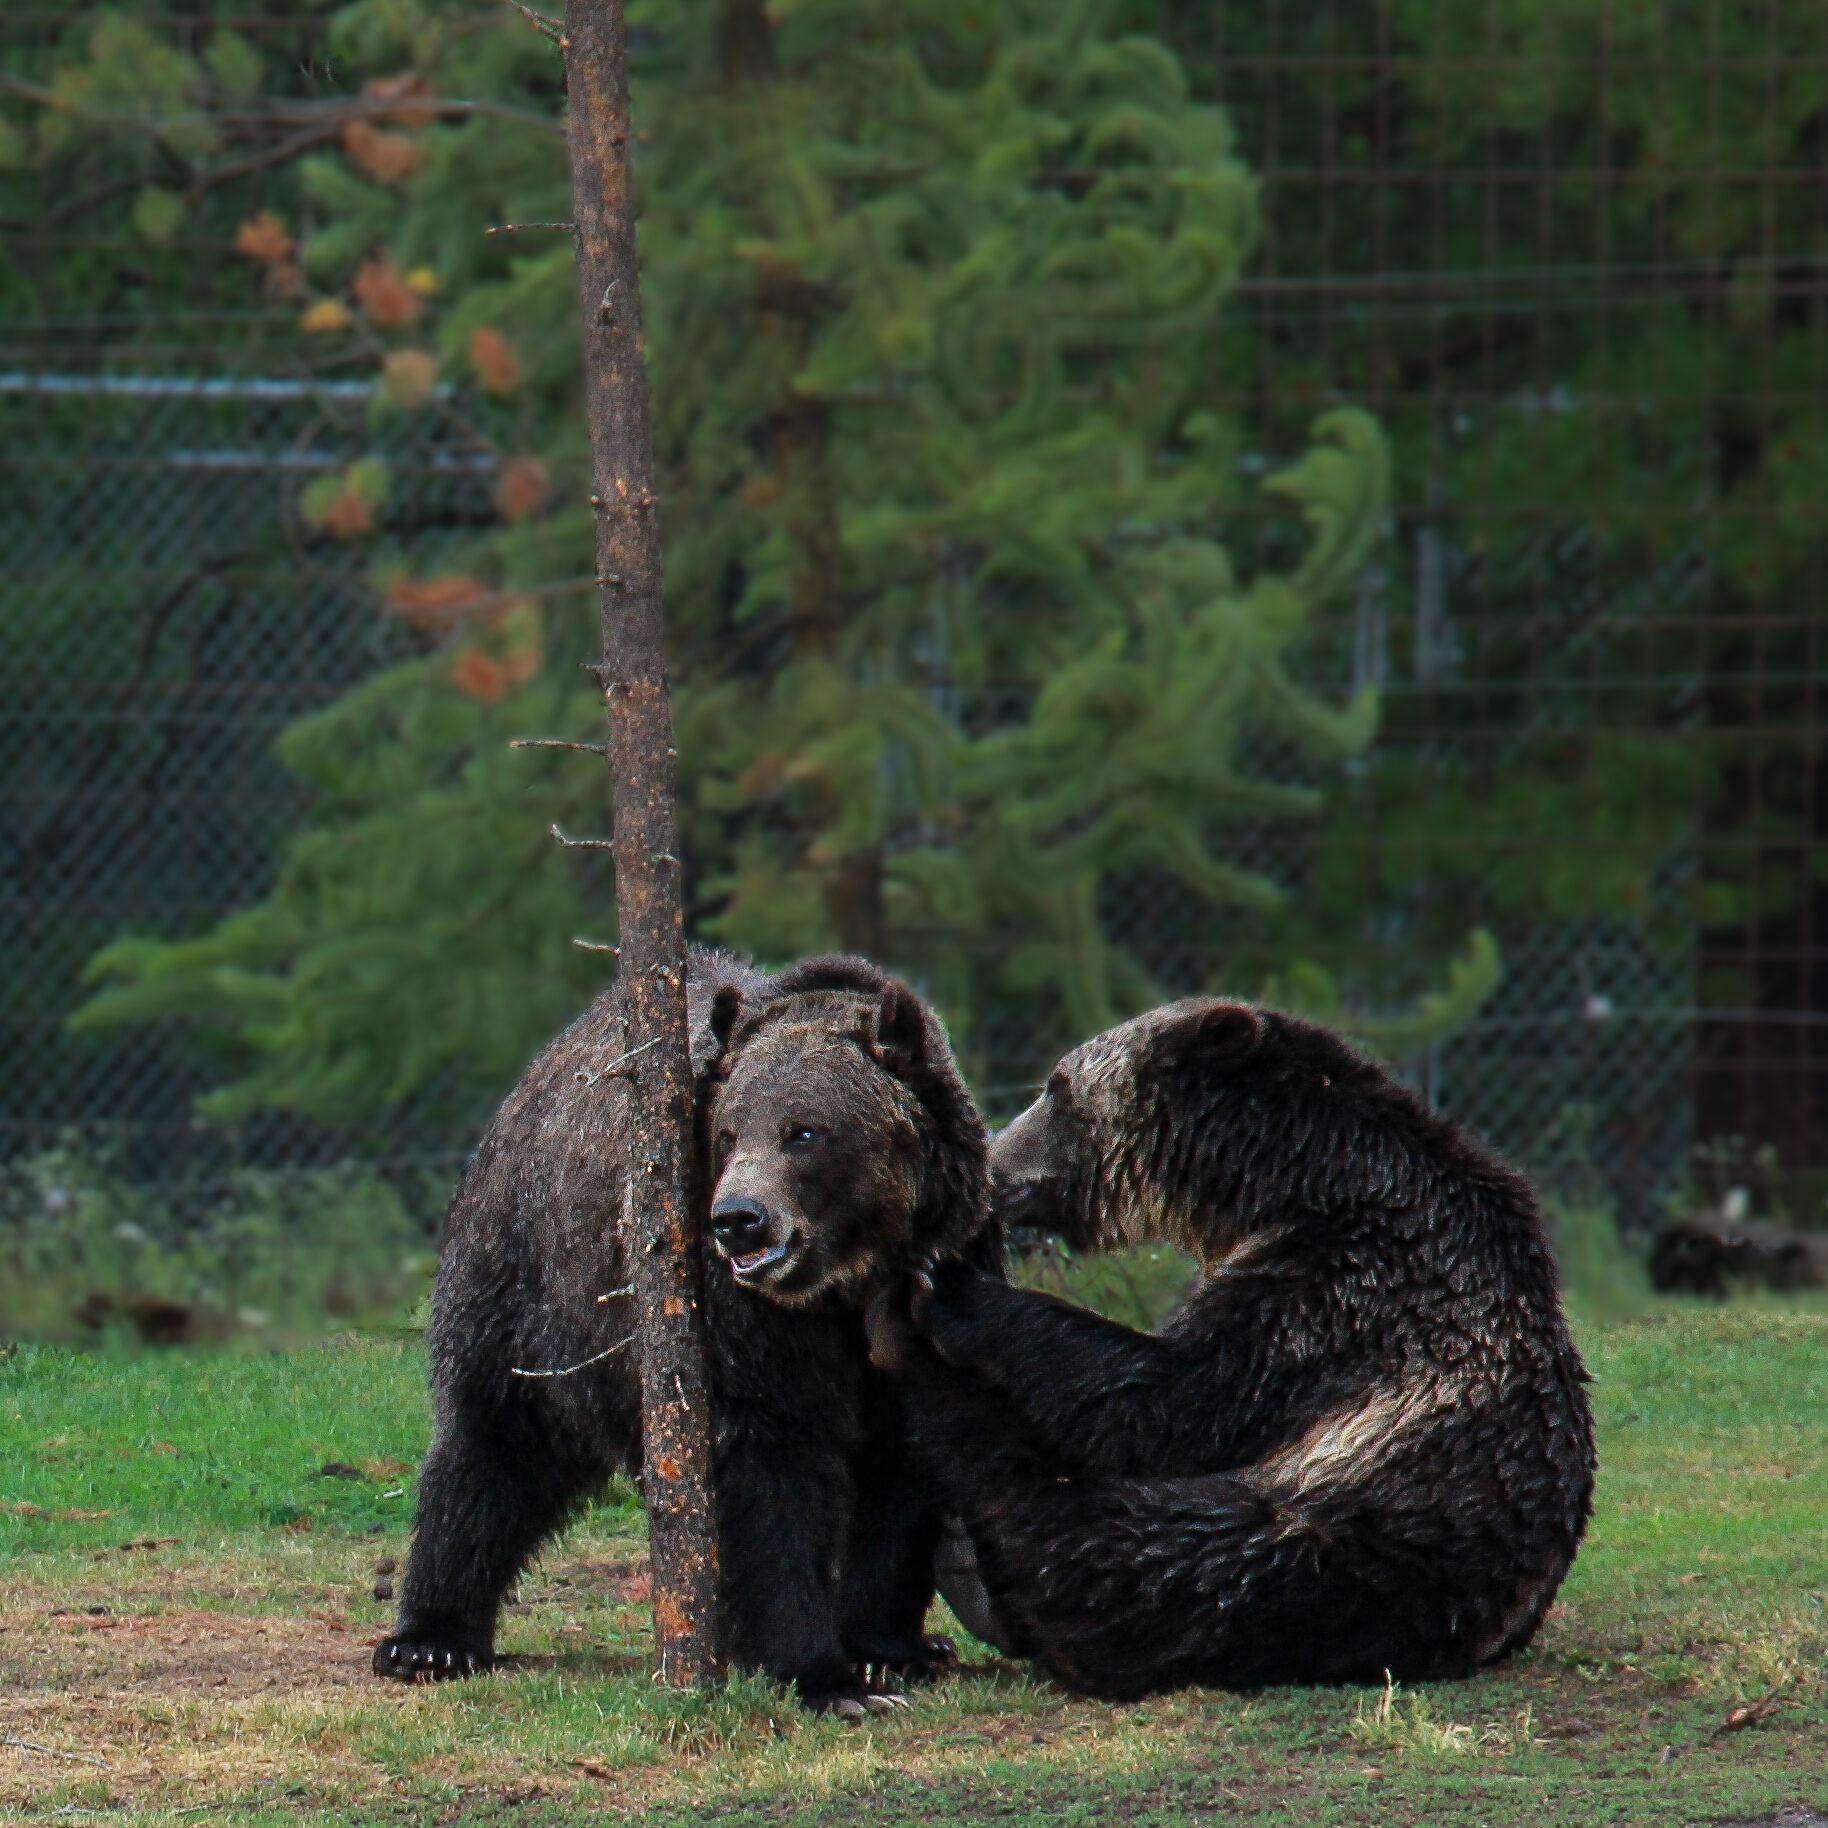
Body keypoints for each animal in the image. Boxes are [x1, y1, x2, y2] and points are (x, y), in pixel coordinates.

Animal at [376, 943, 994, 1711]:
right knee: (490, 1444)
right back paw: (431, 1638)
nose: (740, 1219)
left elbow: (901, 1473)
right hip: (528, 1283)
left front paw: (889, 1650)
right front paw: (821, 1674)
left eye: (805, 1131)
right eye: (727, 1133)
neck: (845, 1289)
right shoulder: (741, 1326)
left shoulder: (937, 1290)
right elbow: (767, 1469)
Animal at [873, 1001, 1601, 1696]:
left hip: (1351, 1541)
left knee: (1120, 1546)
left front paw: (951, 1286)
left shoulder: (1346, 1287)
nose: (995, 1164)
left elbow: (1169, 1402)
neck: (1285, 1183)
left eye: (1057, 1089)